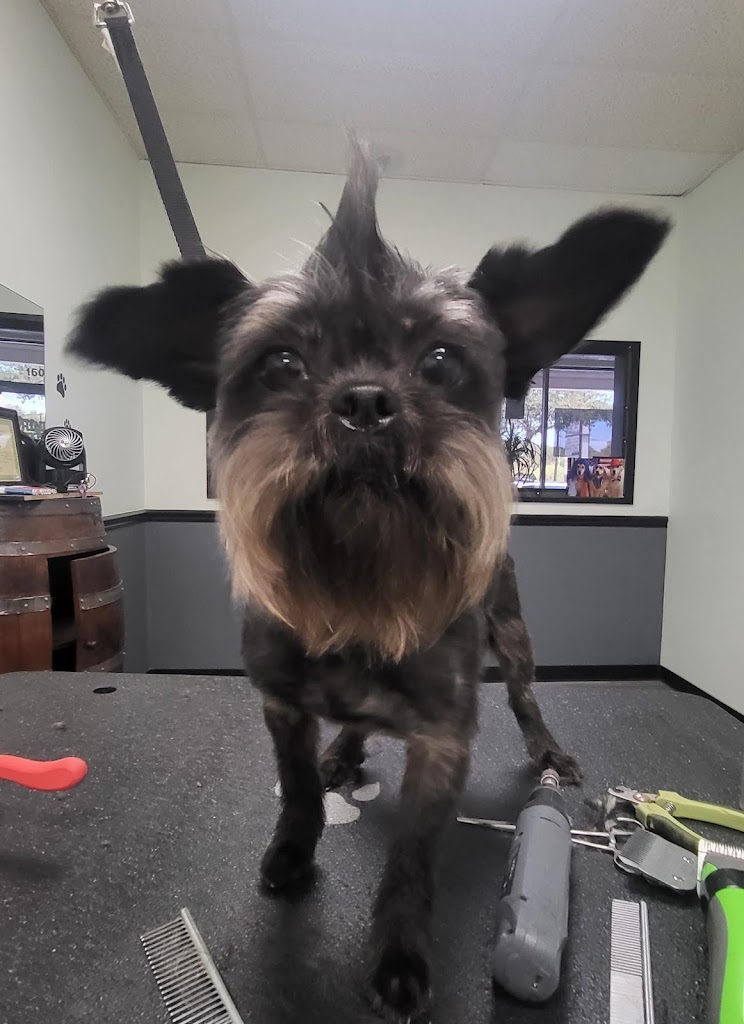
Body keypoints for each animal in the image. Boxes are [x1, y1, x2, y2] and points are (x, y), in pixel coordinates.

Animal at [67, 143, 667, 1022]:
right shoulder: (282, 705)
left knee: (527, 699)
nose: (364, 400)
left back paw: (546, 751)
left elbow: (413, 857)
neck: (359, 594)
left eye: (442, 360)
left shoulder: (443, 739)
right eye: (282, 363)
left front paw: (400, 955)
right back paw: (345, 753)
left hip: (514, 633)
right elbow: (295, 792)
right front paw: (293, 851)